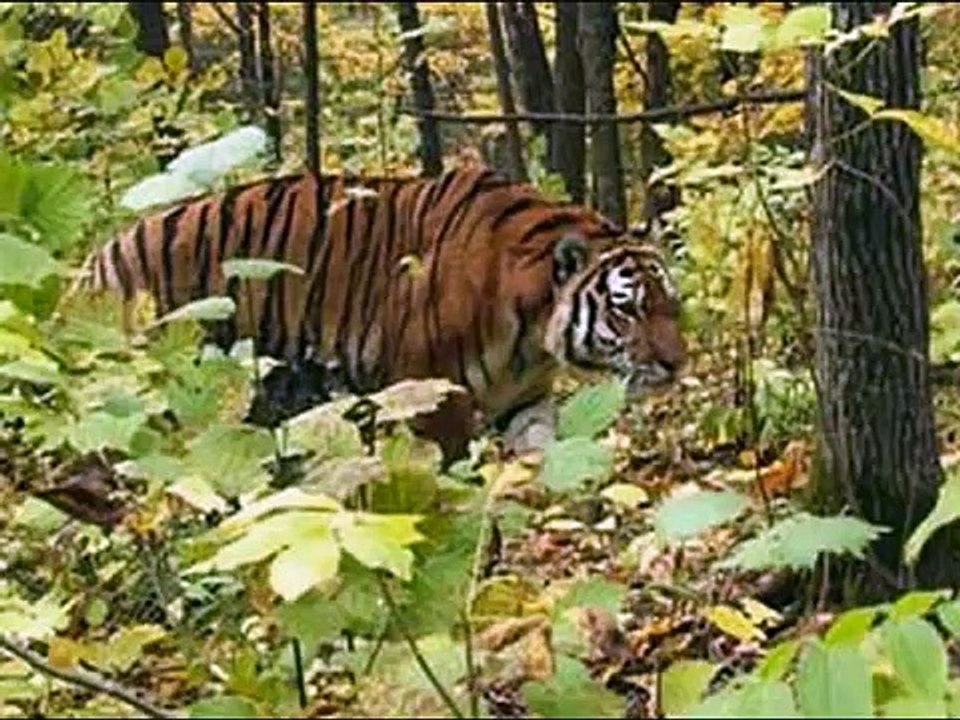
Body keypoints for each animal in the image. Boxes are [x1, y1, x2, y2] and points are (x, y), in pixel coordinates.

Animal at [71, 163, 687, 462]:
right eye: (627, 309)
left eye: (671, 304)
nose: (678, 364)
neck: (531, 333)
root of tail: (94, 262)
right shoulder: (432, 394)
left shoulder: (527, 402)